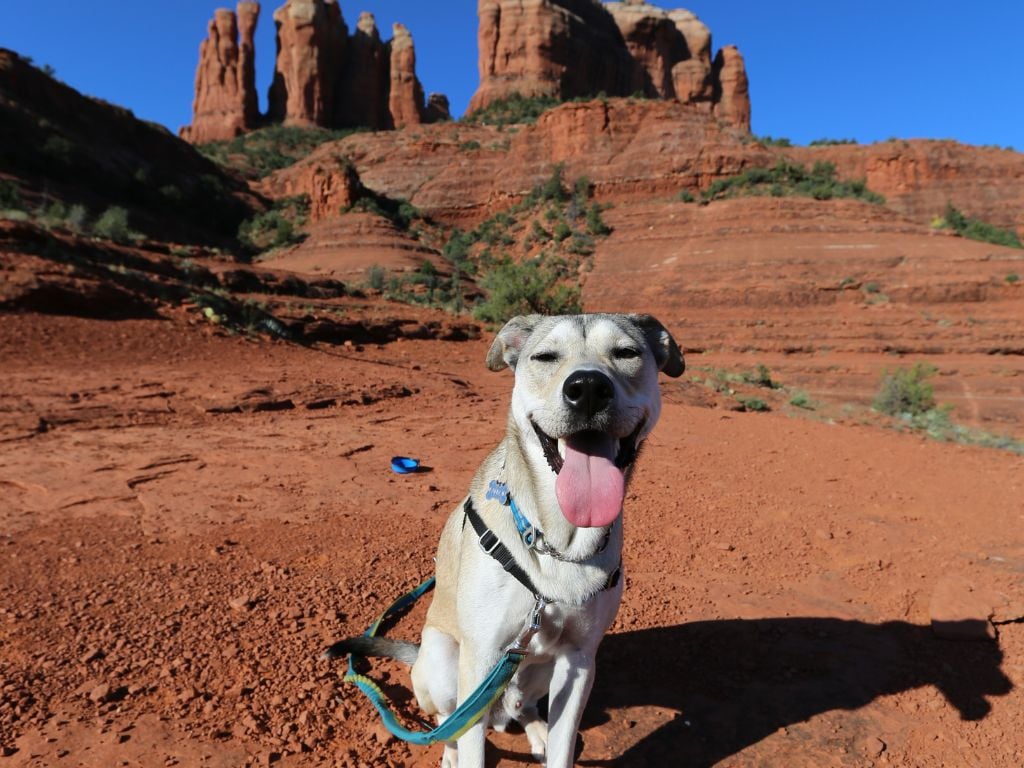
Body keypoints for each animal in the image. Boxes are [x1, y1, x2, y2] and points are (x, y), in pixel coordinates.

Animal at [323, 313, 684, 768]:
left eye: (626, 352)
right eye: (544, 357)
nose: (587, 389)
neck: (557, 541)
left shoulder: (579, 660)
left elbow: (564, 747)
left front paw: (552, 741)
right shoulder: (482, 655)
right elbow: (469, 742)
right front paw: (462, 754)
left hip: (539, 671)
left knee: (522, 707)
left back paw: (536, 728)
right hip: (443, 661)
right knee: (448, 722)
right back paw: (450, 751)